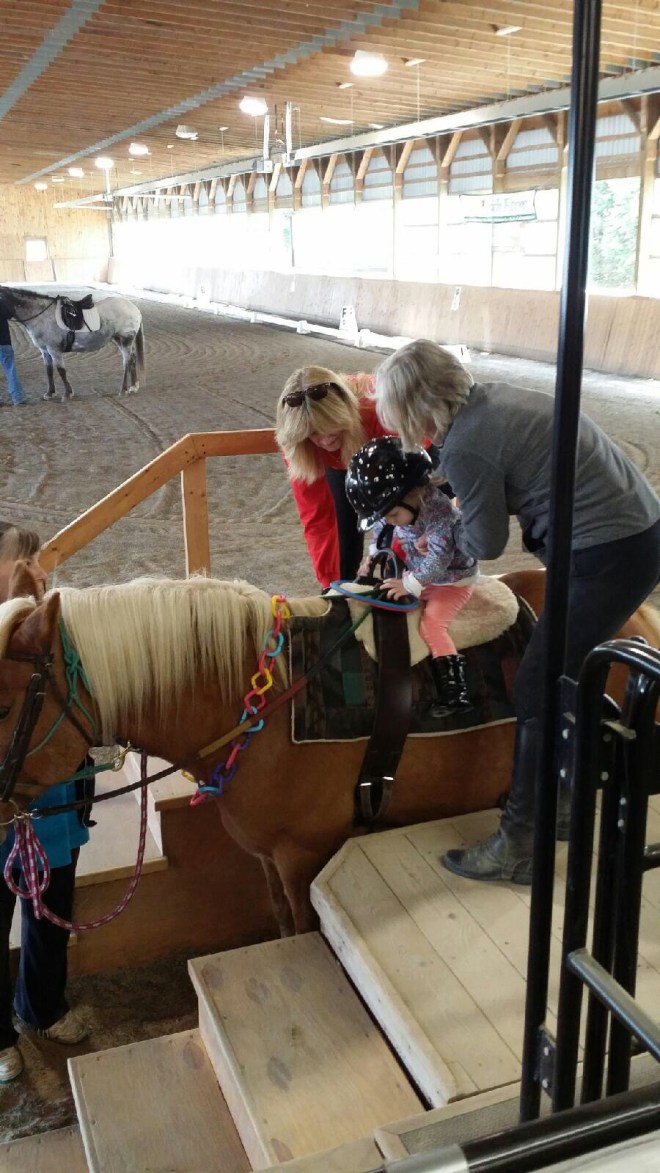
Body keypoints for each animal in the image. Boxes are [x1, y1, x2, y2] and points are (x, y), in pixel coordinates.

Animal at [0, 285, 144, 400]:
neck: (42, 316)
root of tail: (134, 308)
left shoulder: (54, 350)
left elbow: (61, 371)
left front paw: (68, 394)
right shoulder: (45, 351)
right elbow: (49, 370)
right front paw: (50, 393)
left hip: (126, 340)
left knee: (127, 362)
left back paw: (123, 390)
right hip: (119, 340)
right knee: (132, 359)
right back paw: (134, 386)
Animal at [0, 566, 657, 936]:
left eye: (5, 707)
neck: (258, 703)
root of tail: (642, 622)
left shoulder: (304, 857)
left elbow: (306, 929)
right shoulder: (270, 861)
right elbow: (283, 923)